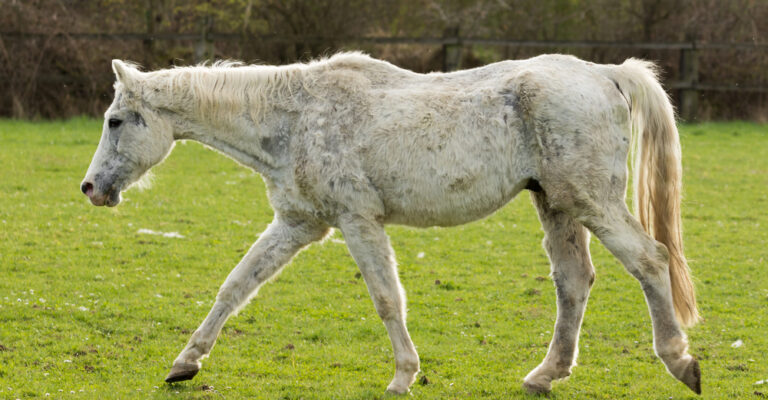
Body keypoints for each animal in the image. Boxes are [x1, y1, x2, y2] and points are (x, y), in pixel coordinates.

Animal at [80, 52, 701, 395]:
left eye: (115, 120)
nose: (90, 189)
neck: (296, 116)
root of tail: (606, 74)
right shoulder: (298, 224)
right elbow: (235, 286)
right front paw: (185, 363)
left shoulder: (358, 220)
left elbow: (385, 298)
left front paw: (403, 376)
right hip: (557, 204)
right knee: (574, 283)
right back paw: (545, 375)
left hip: (592, 202)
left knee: (650, 261)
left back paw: (680, 361)